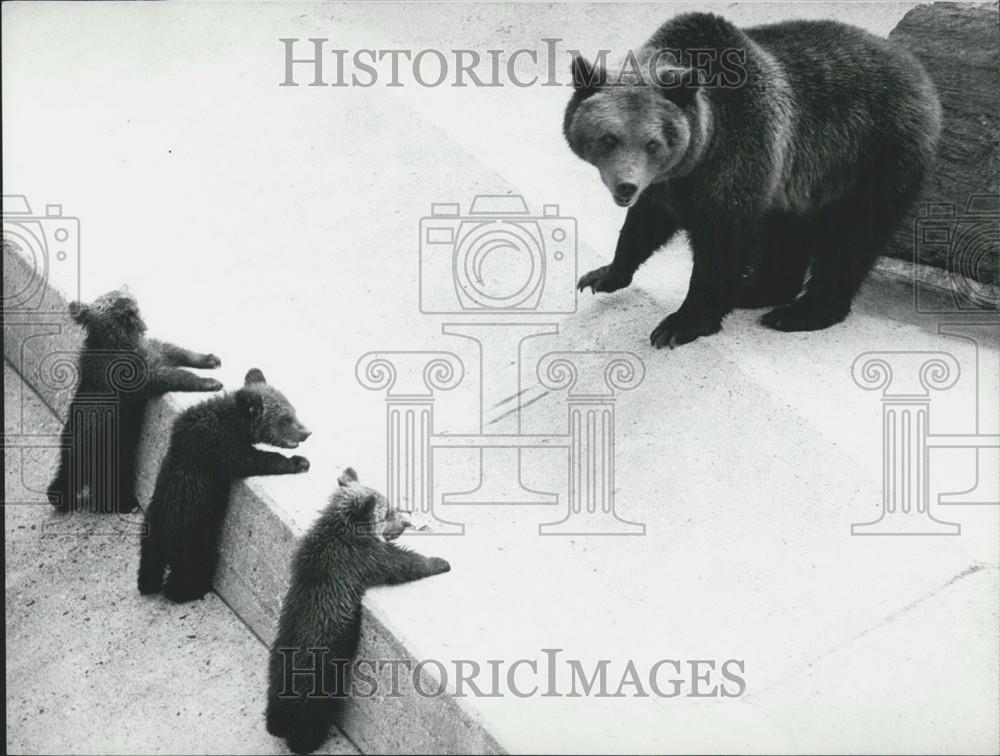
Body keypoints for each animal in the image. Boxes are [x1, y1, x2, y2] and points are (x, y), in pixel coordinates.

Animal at [568, 12, 940, 348]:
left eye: (652, 143)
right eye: (609, 138)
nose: (626, 187)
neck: (702, 150)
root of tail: (920, 74)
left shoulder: (740, 152)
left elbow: (722, 240)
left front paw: (679, 324)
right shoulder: (671, 182)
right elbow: (646, 223)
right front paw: (602, 275)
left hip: (873, 155)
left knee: (850, 236)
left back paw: (800, 312)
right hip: (804, 180)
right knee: (787, 232)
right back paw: (756, 291)